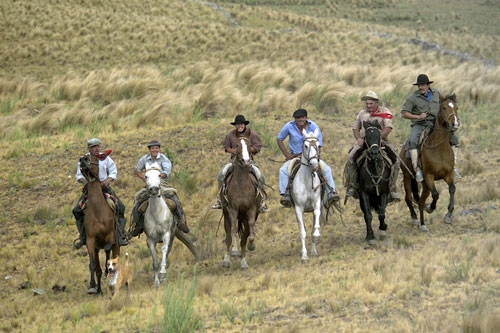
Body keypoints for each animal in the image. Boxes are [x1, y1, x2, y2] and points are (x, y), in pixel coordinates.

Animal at [79, 154, 120, 294]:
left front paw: (108, 270)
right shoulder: (90, 240)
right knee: (97, 269)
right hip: (96, 248)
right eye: (83, 157)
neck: (98, 211)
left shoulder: (110, 235)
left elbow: (107, 251)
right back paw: (98, 290)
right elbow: (92, 265)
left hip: (116, 245)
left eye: (95, 158)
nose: (82, 160)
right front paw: (92, 286)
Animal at [221, 136, 260, 268]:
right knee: (228, 236)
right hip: (226, 214)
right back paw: (227, 260)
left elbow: (250, 231)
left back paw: (243, 262)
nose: (246, 161)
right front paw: (234, 250)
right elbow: (233, 230)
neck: (242, 185)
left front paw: (252, 245)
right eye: (237, 145)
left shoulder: (252, 209)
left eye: (249, 145)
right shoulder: (232, 209)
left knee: (244, 237)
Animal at [398, 92, 460, 230]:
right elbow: (436, 194)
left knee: (421, 201)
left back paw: (422, 224)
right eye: (444, 108)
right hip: (408, 176)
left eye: (456, 108)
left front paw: (448, 215)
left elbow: (452, 189)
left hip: (424, 185)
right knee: (409, 198)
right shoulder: (429, 176)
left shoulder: (448, 174)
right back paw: (417, 220)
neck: (439, 148)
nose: (455, 124)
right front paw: (431, 208)